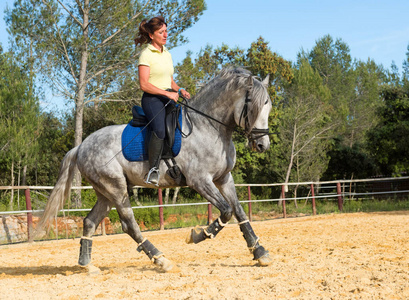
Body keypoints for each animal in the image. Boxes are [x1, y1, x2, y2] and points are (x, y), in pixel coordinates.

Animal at [38, 67, 272, 270]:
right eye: (254, 108)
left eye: (268, 108)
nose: (262, 145)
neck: (208, 127)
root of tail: (81, 146)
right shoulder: (200, 181)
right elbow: (226, 211)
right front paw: (197, 235)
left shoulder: (224, 178)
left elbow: (239, 211)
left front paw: (259, 252)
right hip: (116, 189)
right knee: (129, 224)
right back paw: (161, 259)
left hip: (106, 193)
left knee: (89, 221)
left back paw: (87, 265)